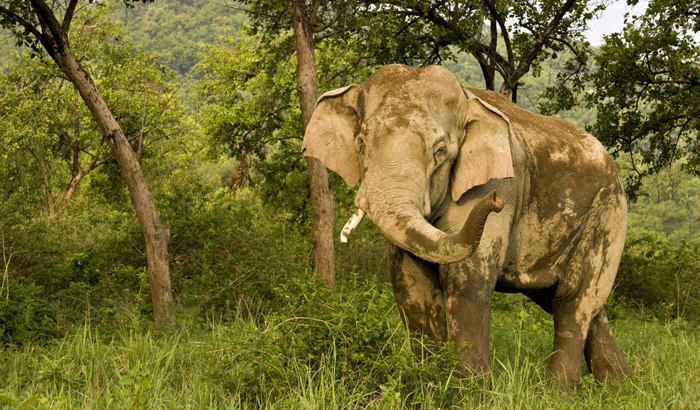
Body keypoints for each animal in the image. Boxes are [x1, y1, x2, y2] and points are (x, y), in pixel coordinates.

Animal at [300, 63, 628, 384]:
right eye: (361, 142)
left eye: (440, 152)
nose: (496, 203)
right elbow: (411, 279)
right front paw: (428, 385)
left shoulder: (498, 182)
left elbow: (467, 277)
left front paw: (470, 391)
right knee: (584, 307)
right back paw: (619, 386)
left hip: (608, 214)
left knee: (571, 302)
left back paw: (557, 392)